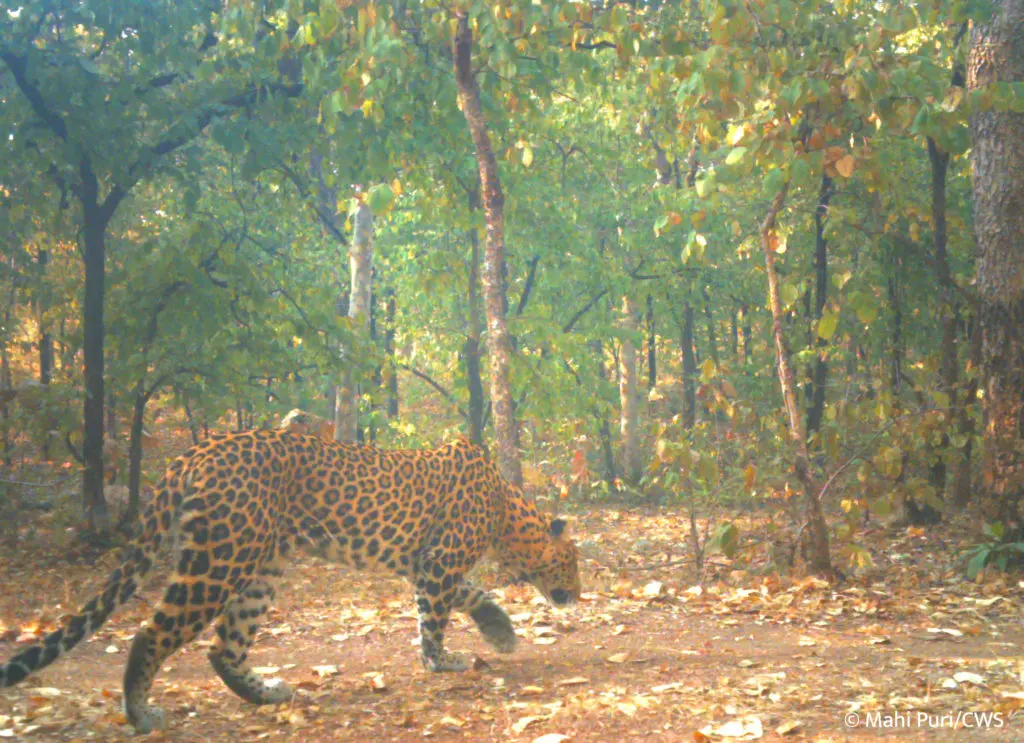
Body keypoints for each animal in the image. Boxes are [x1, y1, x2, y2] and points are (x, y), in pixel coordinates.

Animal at [0, 430, 581, 733]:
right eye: (573, 562)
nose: (577, 594)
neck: (506, 512)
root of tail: (196, 451)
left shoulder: (424, 563)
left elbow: (467, 594)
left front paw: (499, 629)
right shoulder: (437, 561)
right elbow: (434, 618)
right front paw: (444, 661)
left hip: (260, 569)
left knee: (223, 648)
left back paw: (268, 694)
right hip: (219, 561)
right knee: (152, 632)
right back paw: (141, 714)